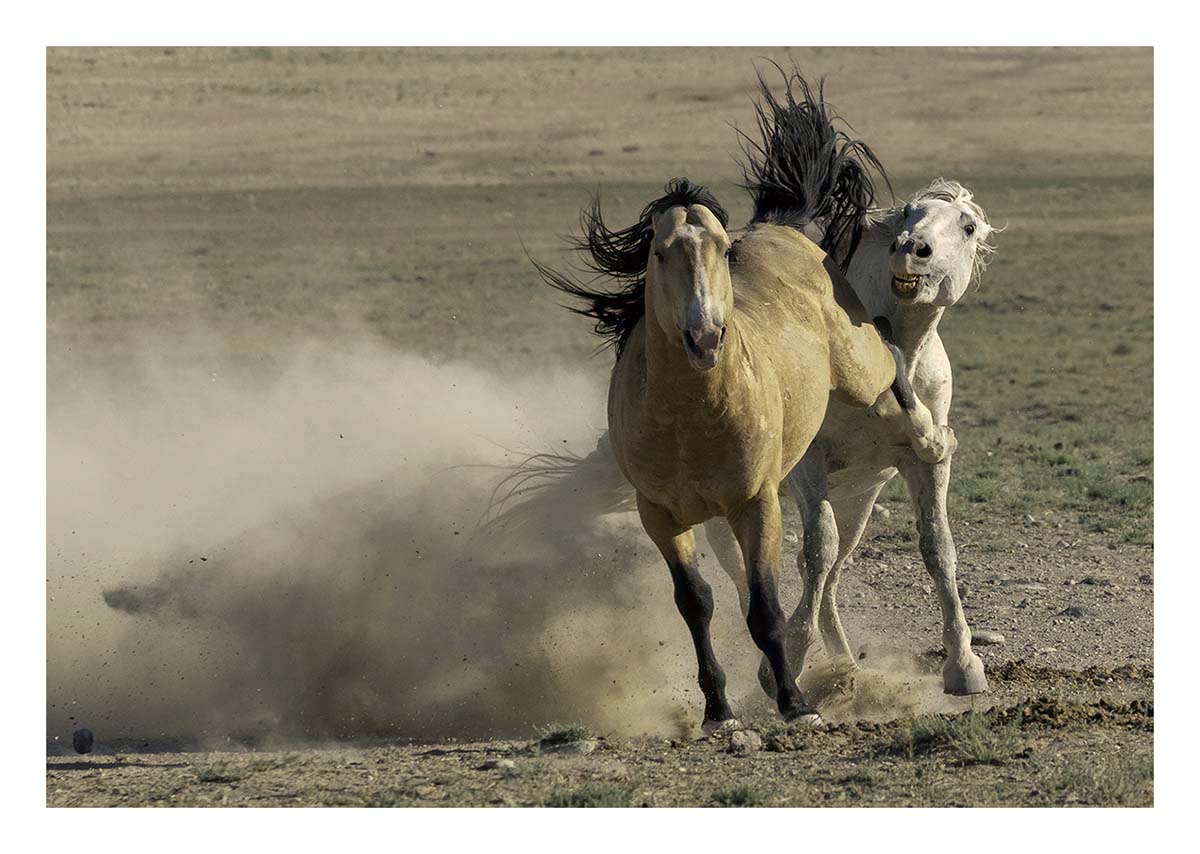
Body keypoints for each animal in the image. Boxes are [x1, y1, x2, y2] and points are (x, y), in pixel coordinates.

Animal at [539, 177, 957, 731]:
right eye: (659, 252)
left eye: (721, 247)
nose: (705, 335)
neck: (690, 420)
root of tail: (780, 228)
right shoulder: (660, 516)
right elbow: (695, 602)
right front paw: (717, 709)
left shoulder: (756, 505)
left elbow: (766, 609)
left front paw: (794, 703)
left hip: (858, 369)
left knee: (888, 348)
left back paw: (933, 437)